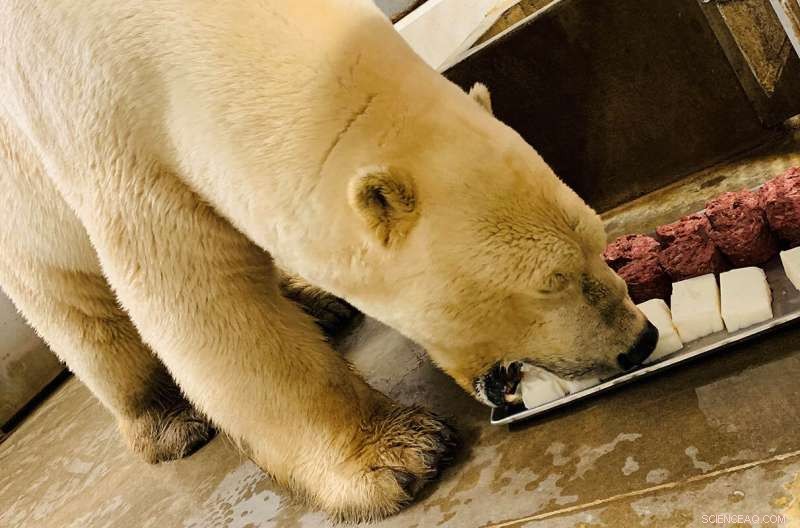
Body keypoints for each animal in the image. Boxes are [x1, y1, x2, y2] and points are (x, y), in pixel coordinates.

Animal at [0, 0, 655, 522]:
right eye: (552, 282)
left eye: (597, 240)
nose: (640, 340)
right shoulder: (107, 135)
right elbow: (201, 302)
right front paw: (396, 455)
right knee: (70, 301)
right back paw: (168, 421)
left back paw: (317, 303)